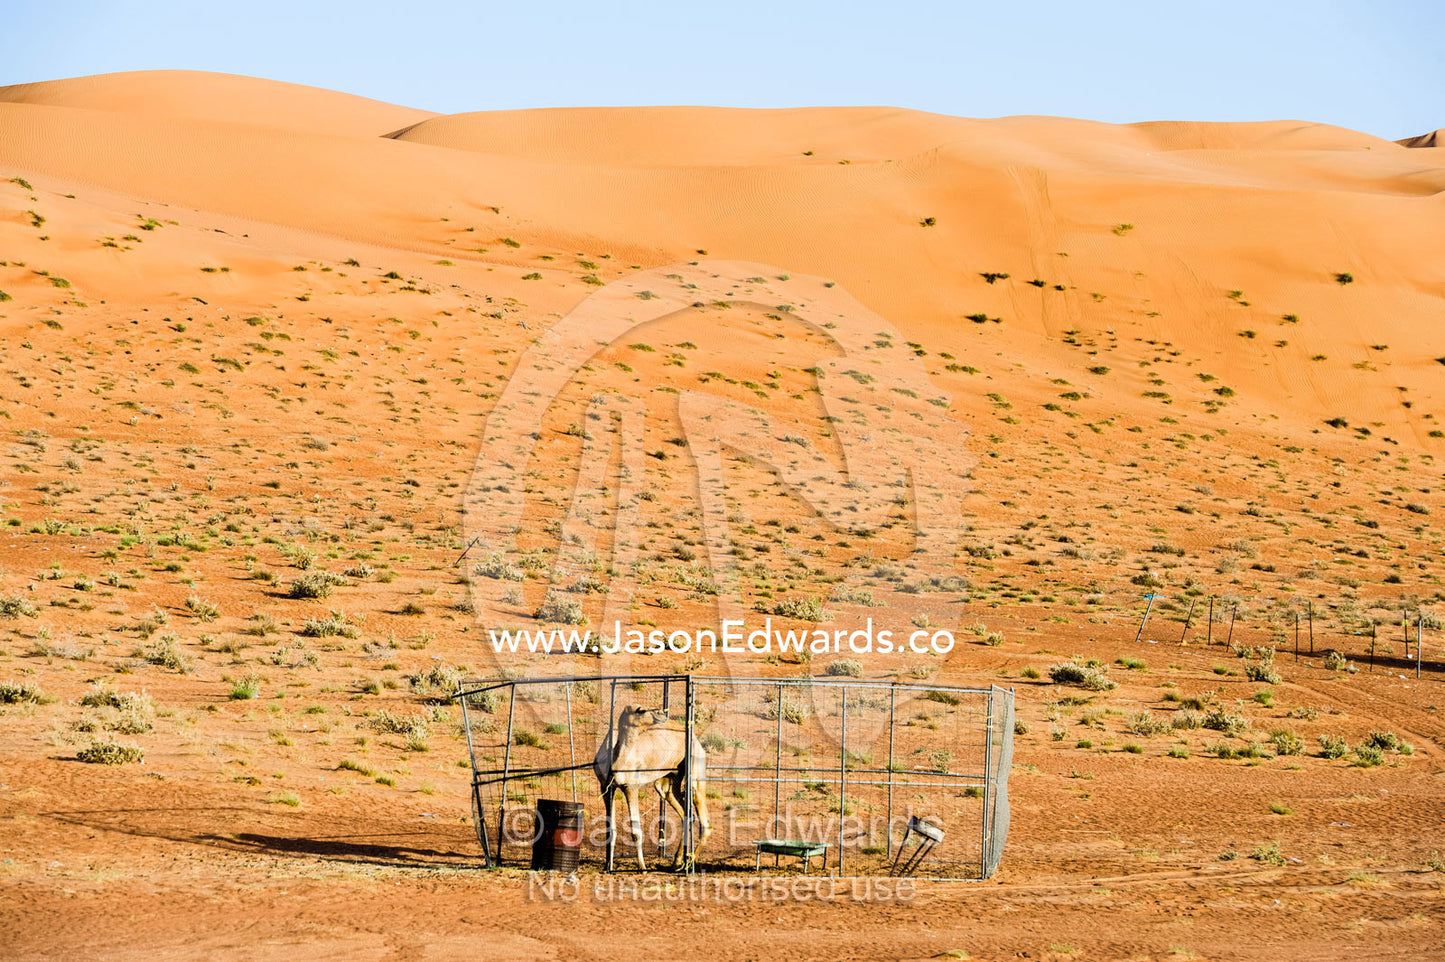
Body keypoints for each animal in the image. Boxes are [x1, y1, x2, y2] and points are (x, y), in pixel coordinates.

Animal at [593, 704, 710, 871]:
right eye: (640, 710)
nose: (662, 713)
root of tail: (696, 740)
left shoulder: (631, 787)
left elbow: (636, 831)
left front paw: (642, 867)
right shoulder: (606, 787)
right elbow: (610, 829)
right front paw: (607, 866)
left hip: (695, 767)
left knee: (703, 818)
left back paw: (689, 864)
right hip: (668, 779)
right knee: (683, 811)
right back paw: (677, 862)